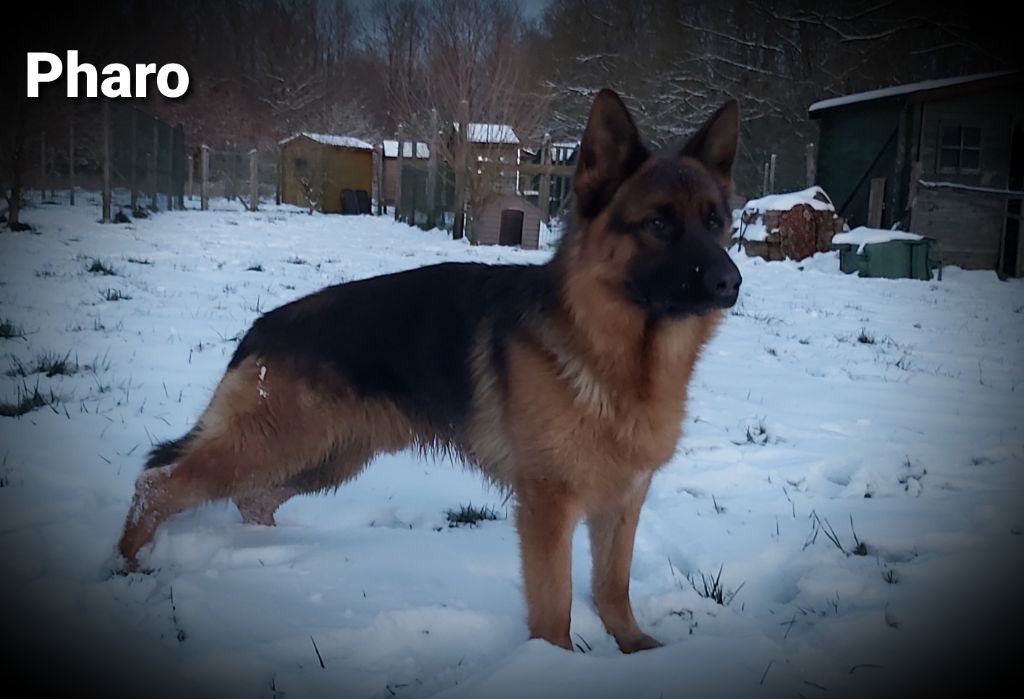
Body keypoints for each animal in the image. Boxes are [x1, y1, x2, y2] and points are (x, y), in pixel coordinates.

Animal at [119, 90, 741, 654]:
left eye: (716, 222)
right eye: (657, 223)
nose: (731, 283)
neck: (611, 351)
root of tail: (263, 326)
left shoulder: (623, 500)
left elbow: (613, 586)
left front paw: (636, 650)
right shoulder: (548, 507)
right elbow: (555, 606)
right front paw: (553, 666)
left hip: (325, 455)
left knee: (253, 500)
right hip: (277, 443)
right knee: (159, 483)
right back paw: (130, 564)